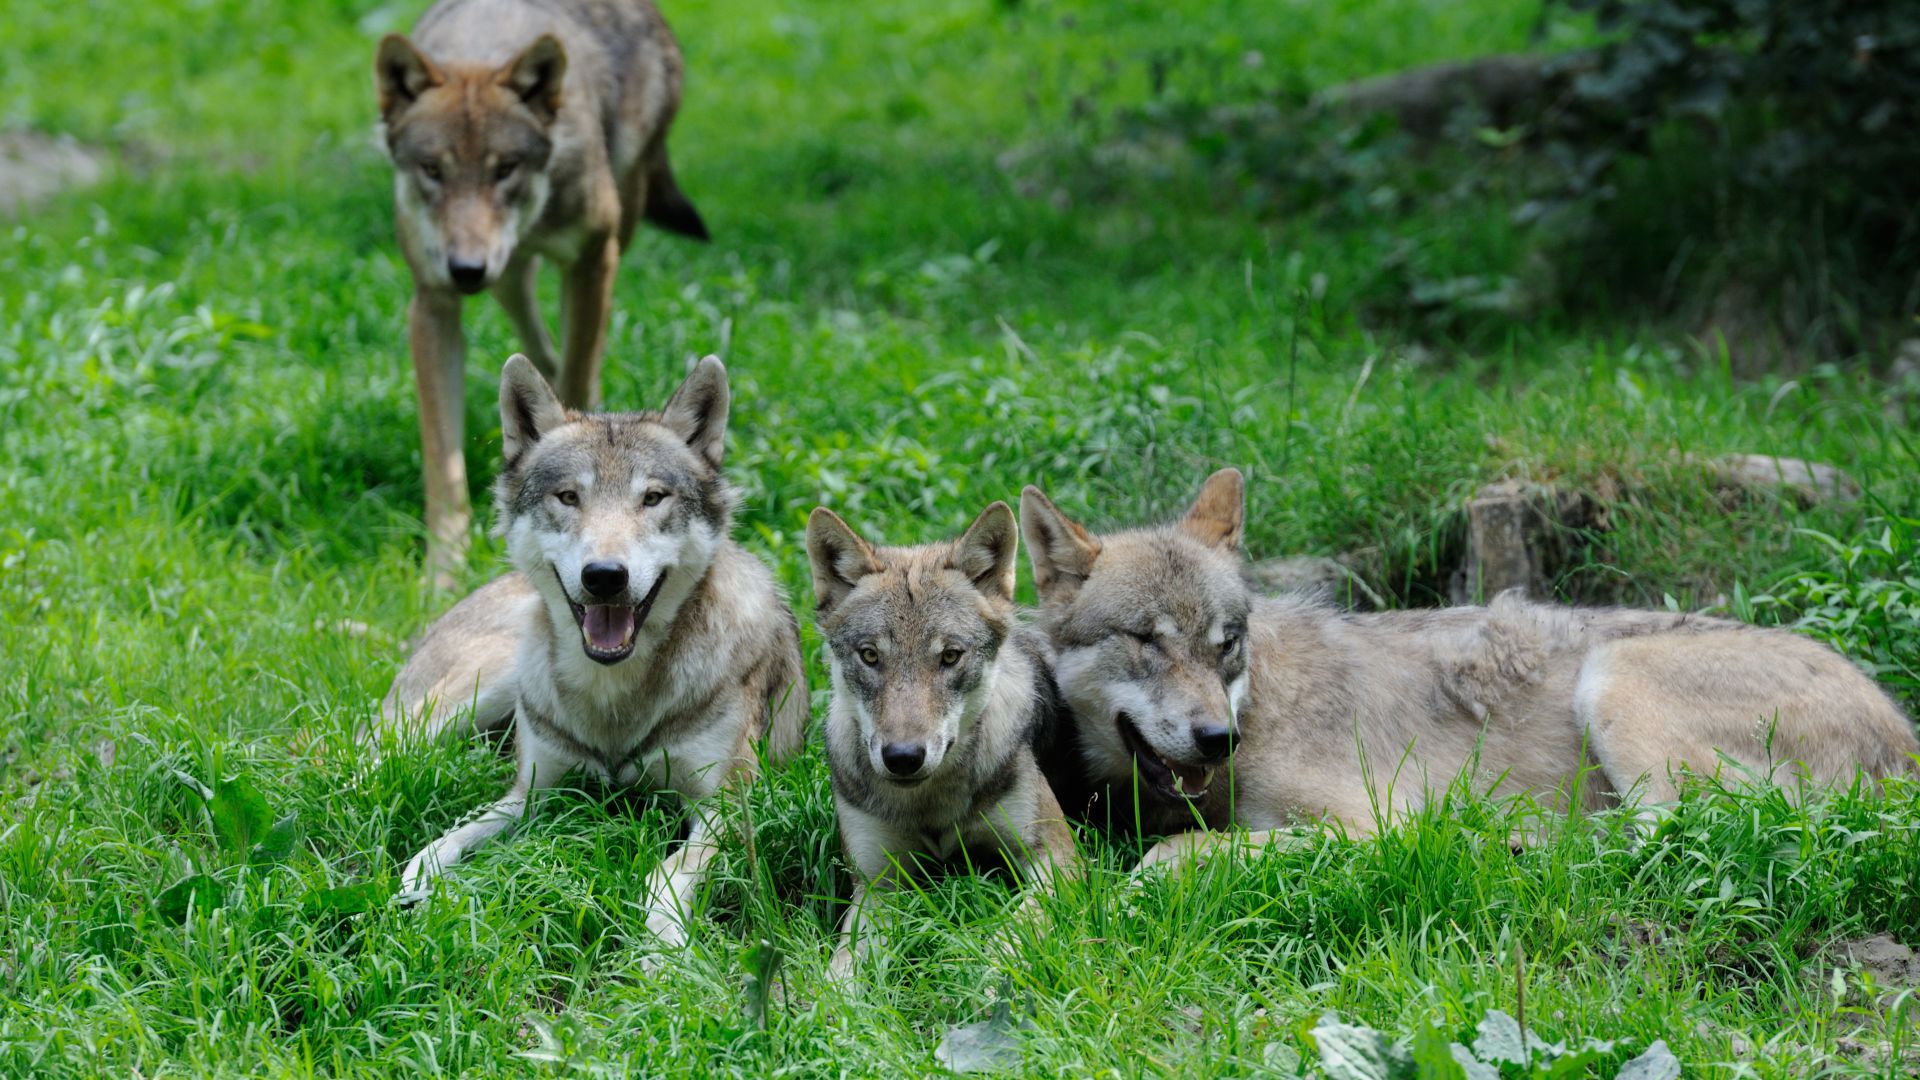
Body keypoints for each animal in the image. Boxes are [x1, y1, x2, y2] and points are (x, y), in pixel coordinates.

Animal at [374, 0, 706, 580]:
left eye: (505, 169)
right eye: (432, 170)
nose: (466, 269)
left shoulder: (593, 260)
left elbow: (577, 372)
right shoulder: (433, 302)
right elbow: (443, 456)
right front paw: (444, 569)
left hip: (618, 222)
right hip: (508, 276)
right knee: (535, 331)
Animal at [374, 349, 802, 945]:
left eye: (652, 498)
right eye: (569, 497)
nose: (604, 576)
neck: (614, 698)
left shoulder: (726, 805)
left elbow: (667, 876)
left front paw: (662, 947)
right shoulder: (532, 792)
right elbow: (450, 837)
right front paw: (418, 882)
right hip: (477, 693)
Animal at [806, 499, 1082, 976]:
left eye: (950, 656)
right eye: (870, 656)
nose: (902, 757)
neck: (930, 806)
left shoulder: (1057, 858)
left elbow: (1011, 935)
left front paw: (989, 982)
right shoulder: (878, 884)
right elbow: (842, 971)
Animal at [1021, 466, 1920, 860]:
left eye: (1225, 642)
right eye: (1147, 641)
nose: (1217, 738)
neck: (1263, 707)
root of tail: (1904, 738)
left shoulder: (1362, 827)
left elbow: (1165, 860)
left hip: (1615, 679)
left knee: (1673, 831)